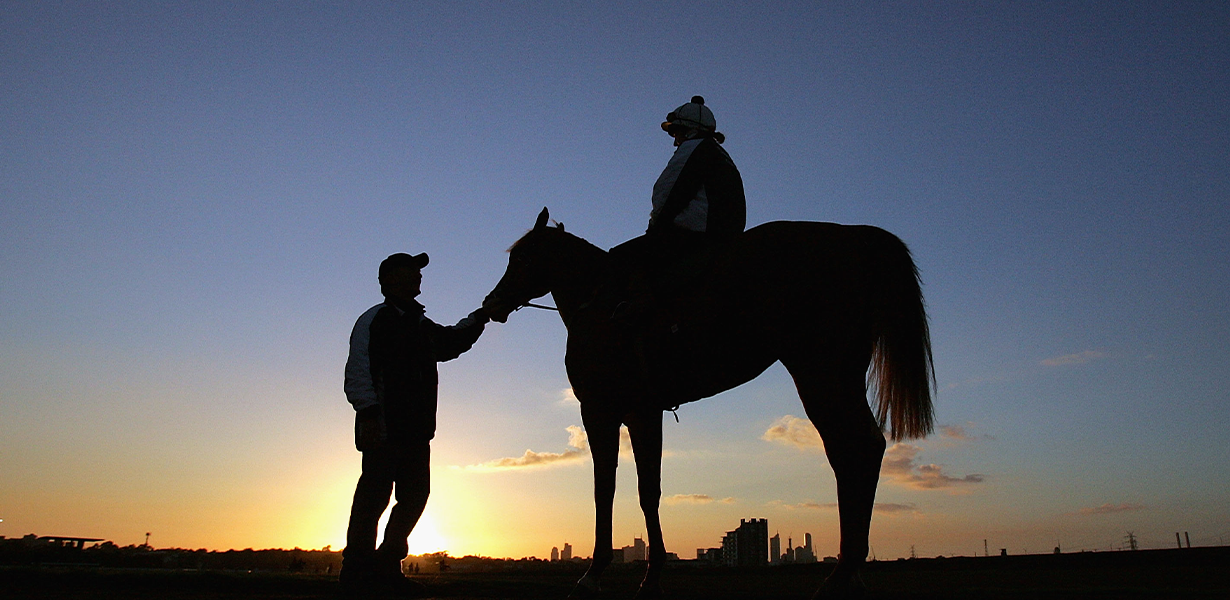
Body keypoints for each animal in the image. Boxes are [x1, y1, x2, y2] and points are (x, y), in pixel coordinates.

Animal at [479, 209, 929, 597]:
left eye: (522, 257)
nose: (492, 303)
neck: (600, 305)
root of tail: (856, 237)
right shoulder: (639, 413)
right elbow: (642, 489)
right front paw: (647, 574)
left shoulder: (604, 412)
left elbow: (611, 488)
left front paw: (599, 573)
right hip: (841, 375)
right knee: (861, 451)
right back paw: (850, 575)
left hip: (819, 374)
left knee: (853, 450)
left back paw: (842, 575)